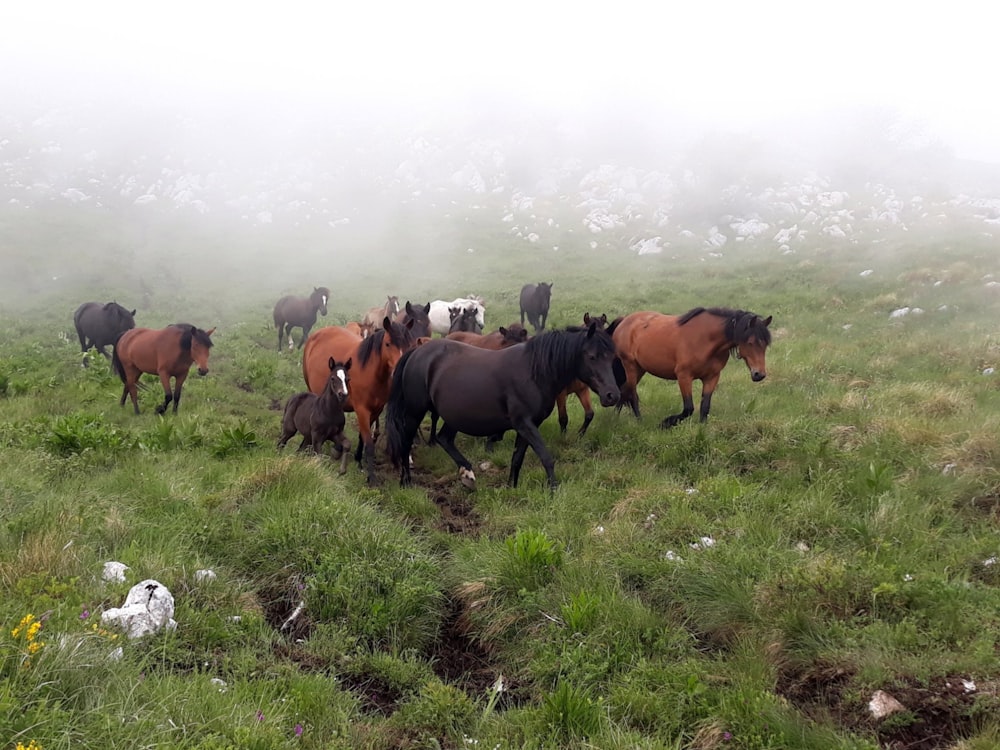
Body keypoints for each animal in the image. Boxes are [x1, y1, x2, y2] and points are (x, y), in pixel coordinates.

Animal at [302, 318, 416, 488]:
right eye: (388, 344)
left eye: (408, 344)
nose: (398, 372)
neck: (370, 371)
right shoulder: (362, 410)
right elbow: (369, 444)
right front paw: (372, 478)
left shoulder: (375, 410)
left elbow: (363, 436)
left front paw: (358, 461)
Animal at [386, 324, 620, 494]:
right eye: (592, 356)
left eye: (612, 357)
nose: (612, 395)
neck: (533, 372)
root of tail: (416, 352)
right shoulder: (523, 423)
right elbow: (546, 456)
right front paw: (554, 490)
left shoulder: (529, 425)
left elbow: (517, 458)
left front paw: (511, 487)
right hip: (415, 412)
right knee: (406, 442)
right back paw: (406, 481)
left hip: (455, 415)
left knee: (444, 439)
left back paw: (467, 474)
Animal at [608, 306, 772, 428]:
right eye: (750, 342)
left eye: (765, 344)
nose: (759, 374)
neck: (706, 340)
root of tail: (624, 320)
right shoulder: (684, 376)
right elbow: (688, 408)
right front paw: (665, 423)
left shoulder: (712, 377)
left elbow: (705, 406)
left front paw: (702, 429)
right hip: (630, 366)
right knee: (632, 394)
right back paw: (639, 422)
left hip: (640, 368)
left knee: (624, 391)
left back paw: (615, 418)